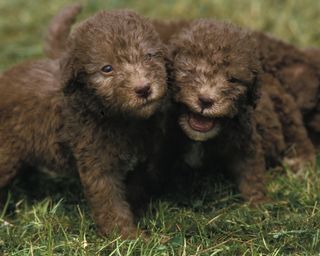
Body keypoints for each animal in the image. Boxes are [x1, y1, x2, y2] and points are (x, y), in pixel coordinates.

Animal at [0, 9, 169, 238]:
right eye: (107, 68)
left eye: (149, 55)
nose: (143, 89)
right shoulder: (97, 163)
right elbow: (110, 202)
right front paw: (125, 236)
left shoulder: (143, 158)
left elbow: (135, 187)